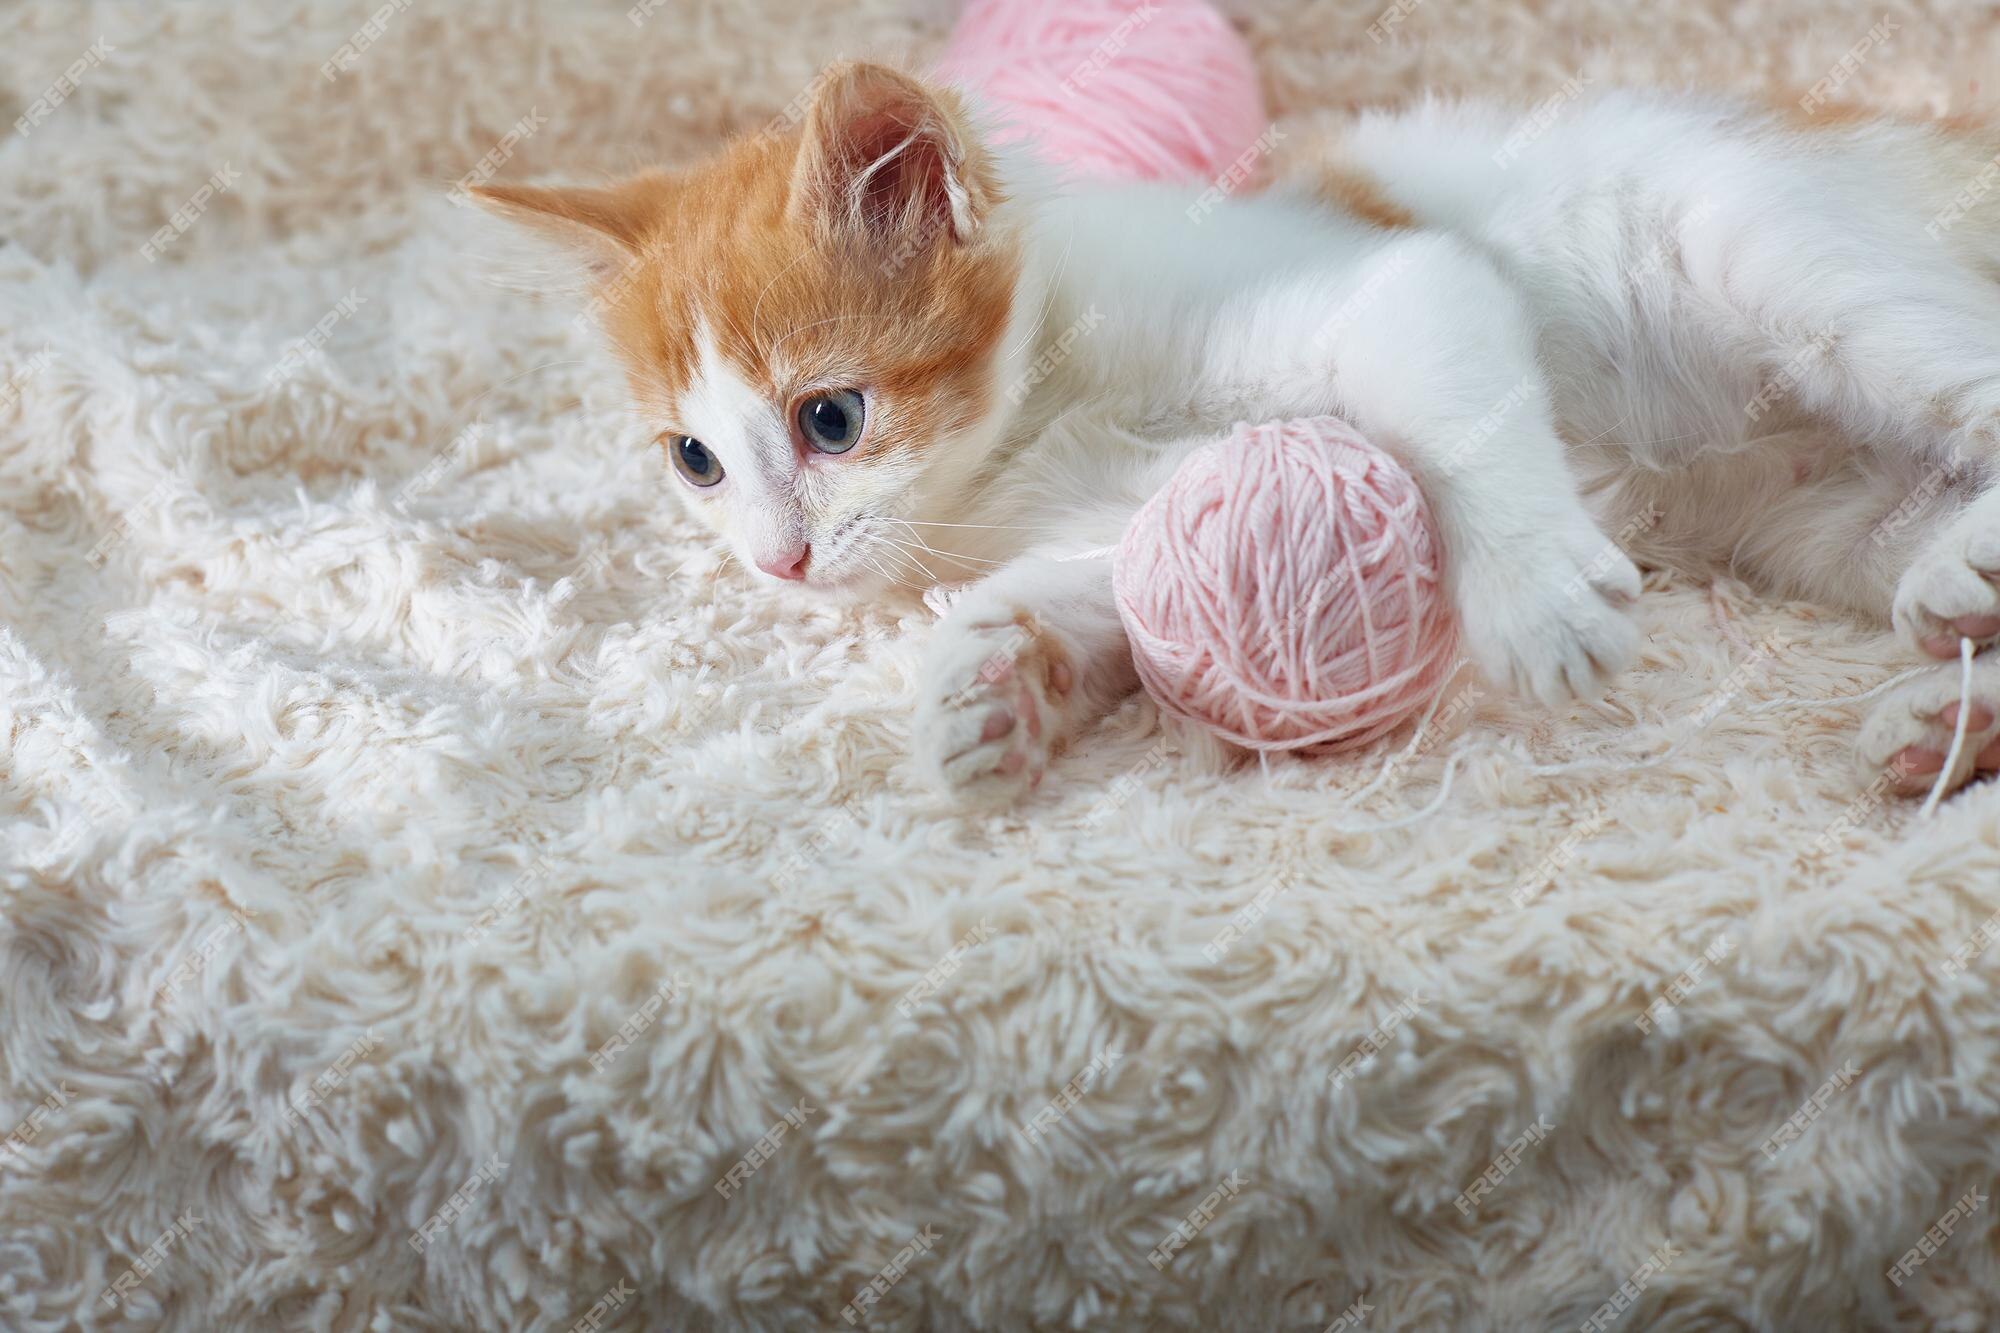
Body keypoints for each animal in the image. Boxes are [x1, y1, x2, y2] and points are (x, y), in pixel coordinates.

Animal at [480, 62, 2000, 804]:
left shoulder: (1398, 279)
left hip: (1770, 251)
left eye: (830, 418)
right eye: (693, 461)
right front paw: (987, 688)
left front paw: (1533, 596)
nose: (775, 563)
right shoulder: (1121, 507)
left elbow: (1456, 401)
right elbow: (1092, 584)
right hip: (1822, 519)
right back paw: (1942, 698)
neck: (1049, 408)